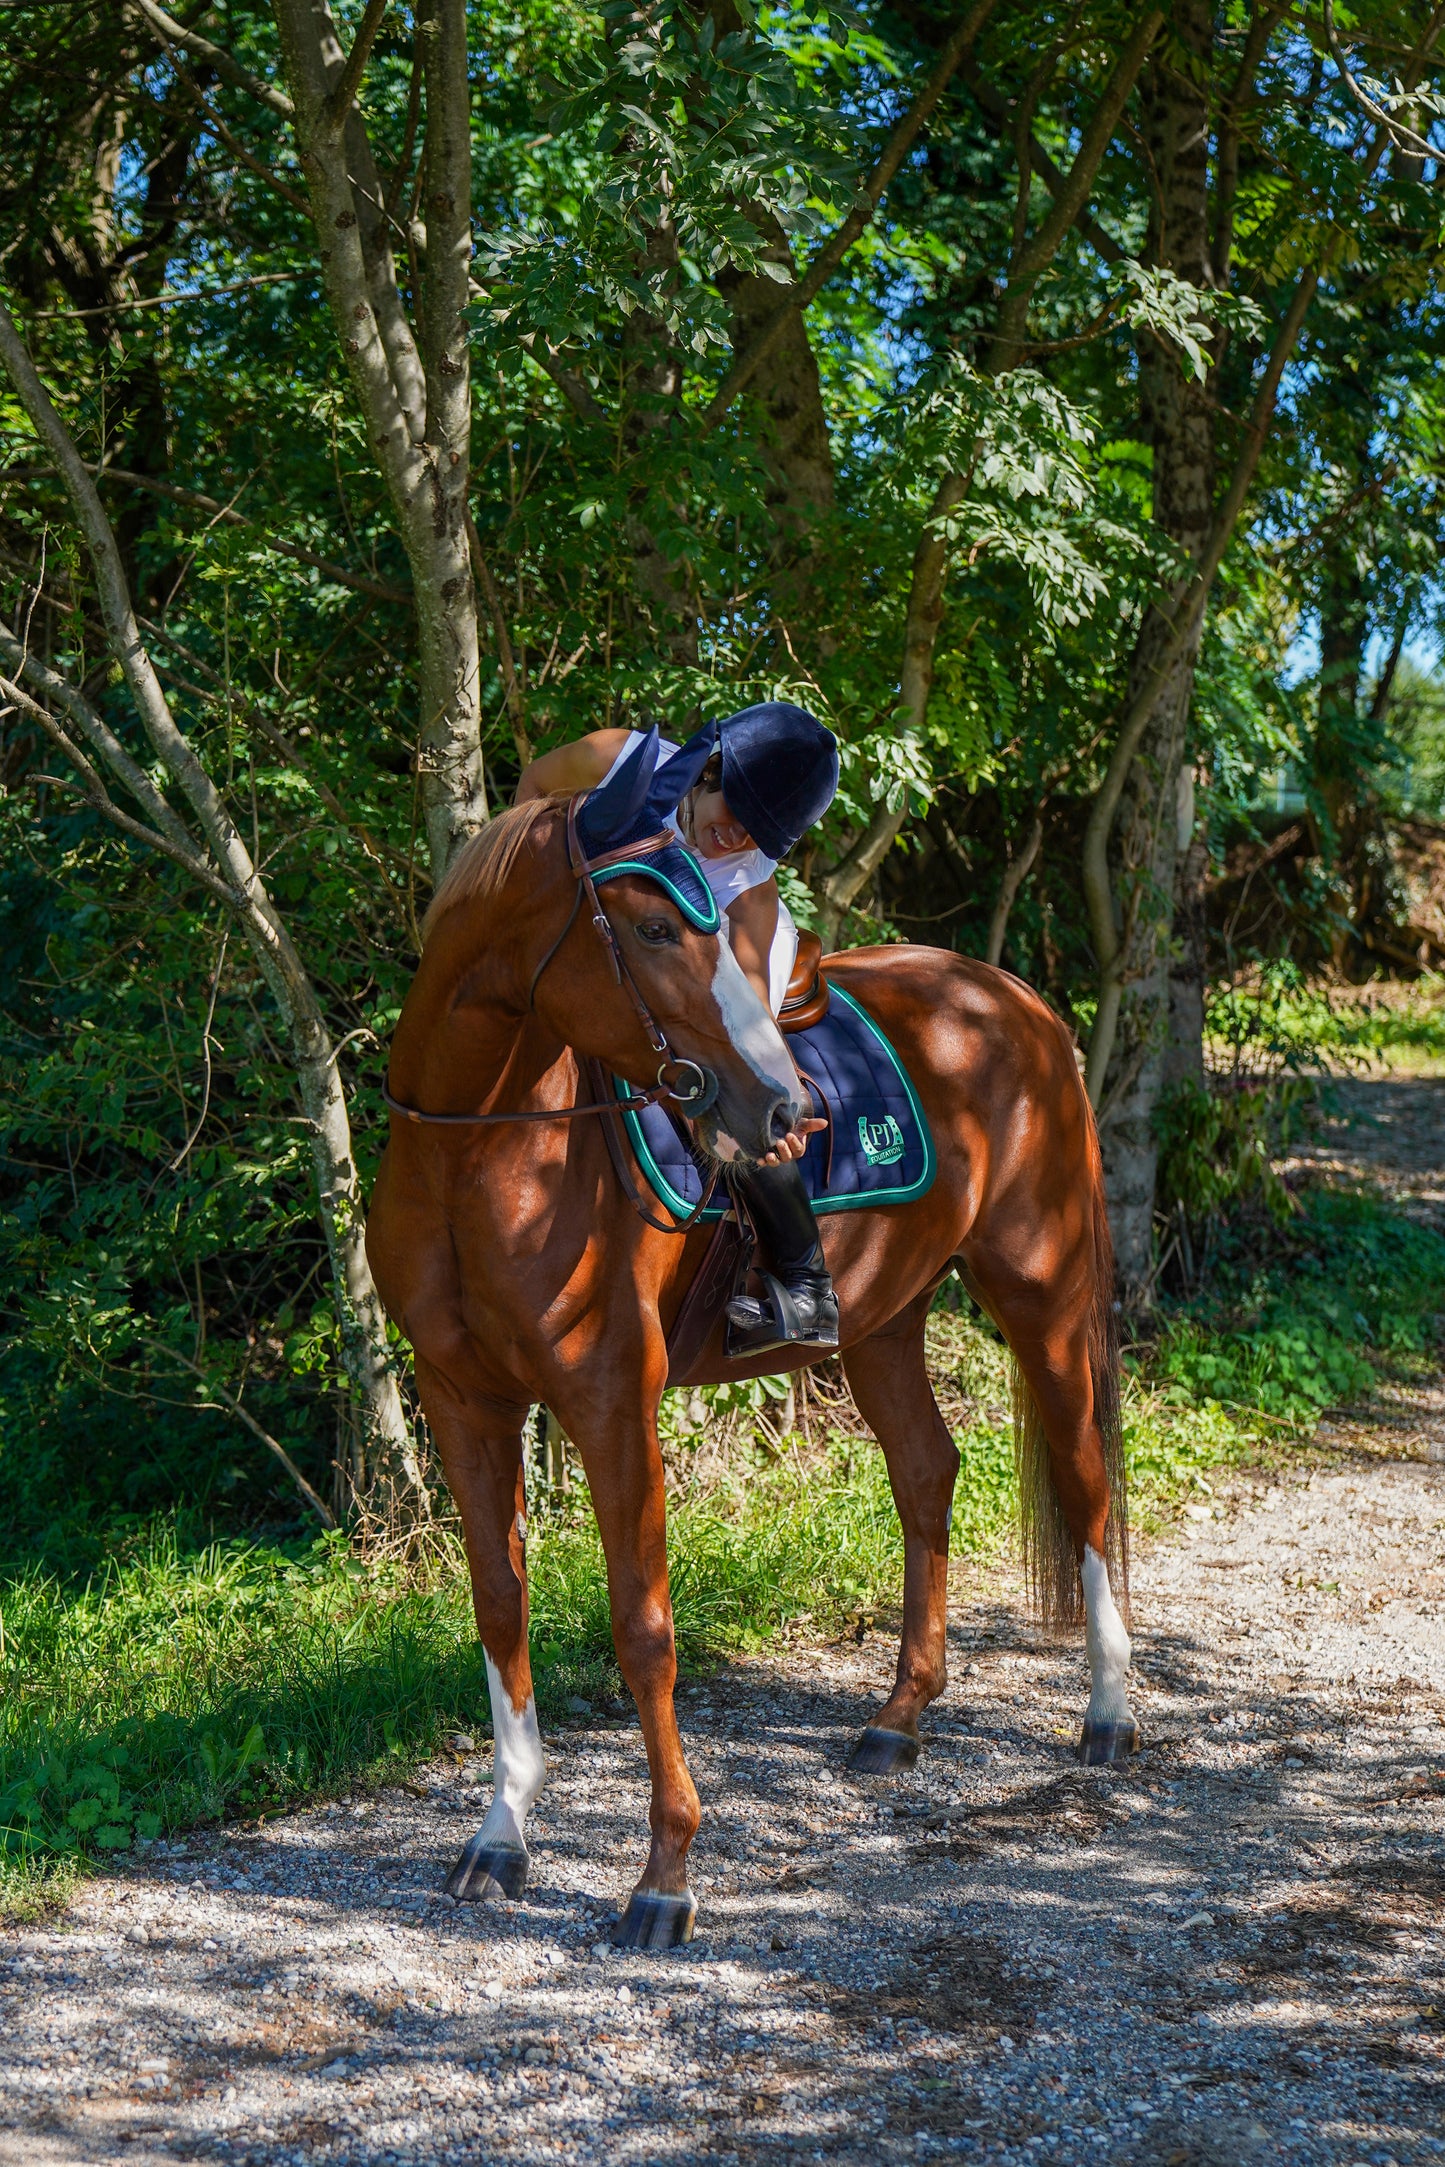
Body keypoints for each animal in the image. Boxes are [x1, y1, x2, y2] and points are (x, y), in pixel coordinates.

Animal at [368, 788, 1135, 1958]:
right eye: (647, 929)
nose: (781, 1109)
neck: (476, 1150)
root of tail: (1012, 998)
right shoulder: (461, 1400)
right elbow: (498, 1605)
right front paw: (500, 1834)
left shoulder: (609, 1400)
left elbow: (643, 1628)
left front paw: (664, 1876)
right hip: (880, 1321)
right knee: (925, 1474)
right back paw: (897, 1719)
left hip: (1038, 1292)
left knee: (1083, 1476)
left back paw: (1105, 1713)